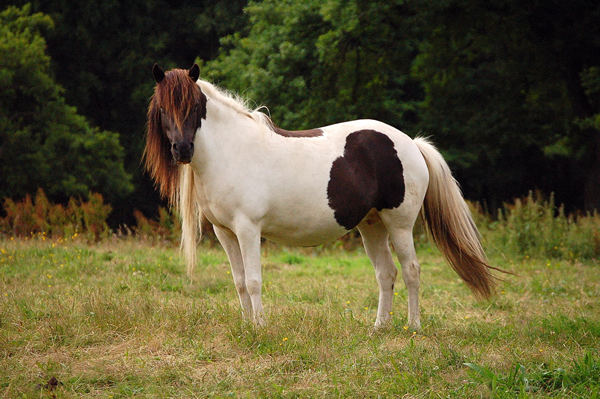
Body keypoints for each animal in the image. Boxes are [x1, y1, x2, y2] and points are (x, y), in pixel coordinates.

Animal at [144, 63, 502, 332]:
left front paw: (260, 328)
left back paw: (413, 327)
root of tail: (411, 143)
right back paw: (379, 328)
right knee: (386, 273)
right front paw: (247, 326)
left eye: (194, 107)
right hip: (371, 226)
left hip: (398, 225)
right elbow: (240, 281)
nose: (182, 150)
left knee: (411, 270)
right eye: (163, 109)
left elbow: (255, 280)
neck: (232, 150)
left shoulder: (248, 229)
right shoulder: (225, 232)